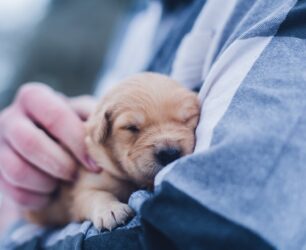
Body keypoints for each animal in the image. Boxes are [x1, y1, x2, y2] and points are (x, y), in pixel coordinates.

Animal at [26, 73, 201, 230]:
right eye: (131, 127)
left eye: (187, 119)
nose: (169, 153)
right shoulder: (84, 187)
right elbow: (96, 195)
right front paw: (110, 210)